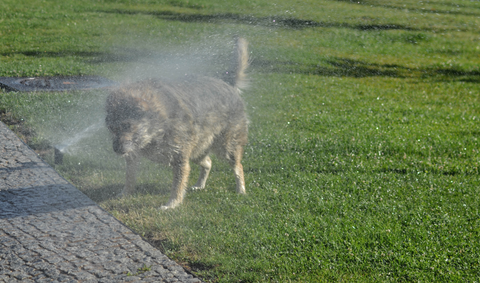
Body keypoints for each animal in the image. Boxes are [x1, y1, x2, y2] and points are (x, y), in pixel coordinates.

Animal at [106, 37, 251, 210]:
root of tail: (228, 84)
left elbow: (177, 185)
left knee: (238, 167)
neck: (156, 131)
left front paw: (171, 205)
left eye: (127, 126)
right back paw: (200, 185)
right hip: (197, 150)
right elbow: (129, 178)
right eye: (111, 128)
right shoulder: (134, 155)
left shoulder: (179, 158)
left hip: (226, 148)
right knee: (208, 163)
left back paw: (241, 190)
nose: (115, 149)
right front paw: (124, 194)